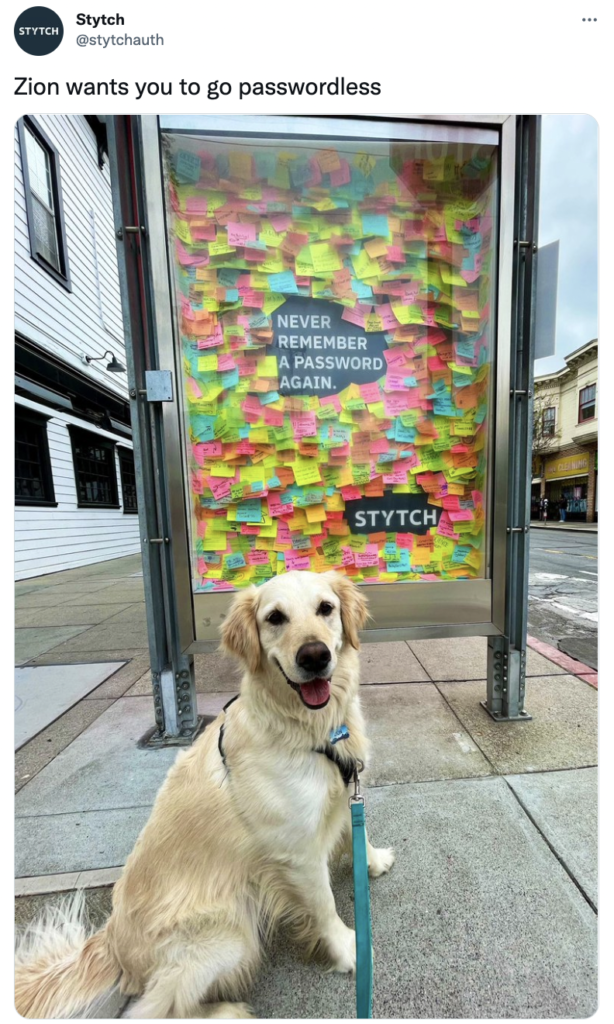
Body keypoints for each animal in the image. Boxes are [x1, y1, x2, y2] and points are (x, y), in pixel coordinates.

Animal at [18, 573, 399, 1019]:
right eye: (275, 617)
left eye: (326, 608)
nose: (314, 656)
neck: (311, 728)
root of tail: (111, 943)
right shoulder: (297, 852)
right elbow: (323, 905)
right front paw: (349, 950)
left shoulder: (343, 793)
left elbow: (358, 835)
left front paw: (373, 861)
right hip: (226, 934)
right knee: (154, 1009)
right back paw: (227, 1011)